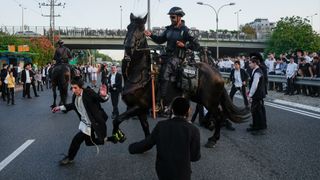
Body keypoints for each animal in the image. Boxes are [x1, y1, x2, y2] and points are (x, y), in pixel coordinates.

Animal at [112, 14, 250, 148]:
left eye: (141, 29)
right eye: (128, 27)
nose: (128, 47)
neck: (140, 73)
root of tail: (217, 73)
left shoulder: (139, 106)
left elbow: (117, 119)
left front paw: (118, 136)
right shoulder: (139, 108)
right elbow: (144, 127)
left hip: (210, 101)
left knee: (219, 116)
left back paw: (213, 139)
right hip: (201, 99)